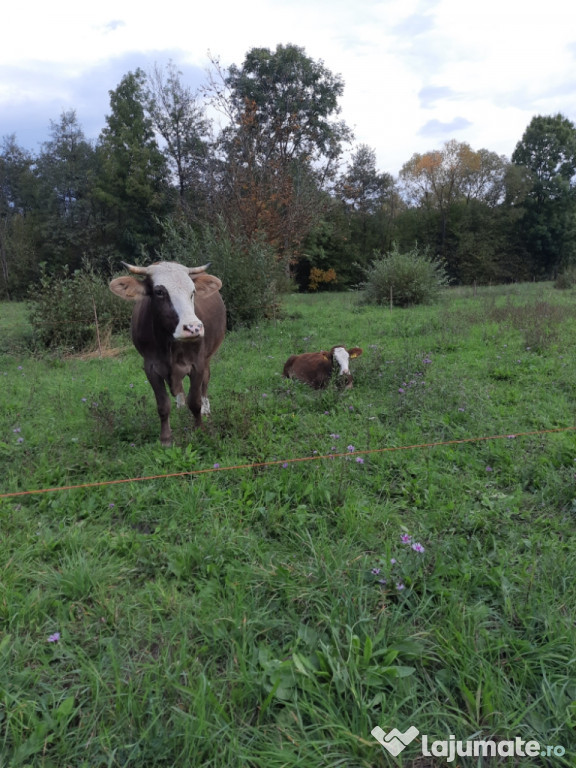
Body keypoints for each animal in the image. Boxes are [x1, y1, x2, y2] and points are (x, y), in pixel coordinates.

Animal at [109, 261, 226, 446]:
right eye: (159, 292)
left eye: (193, 291)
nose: (193, 328)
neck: (169, 344)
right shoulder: (150, 367)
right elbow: (163, 405)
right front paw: (165, 438)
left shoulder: (197, 364)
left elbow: (195, 401)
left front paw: (200, 429)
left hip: (209, 355)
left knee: (205, 382)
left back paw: (206, 408)